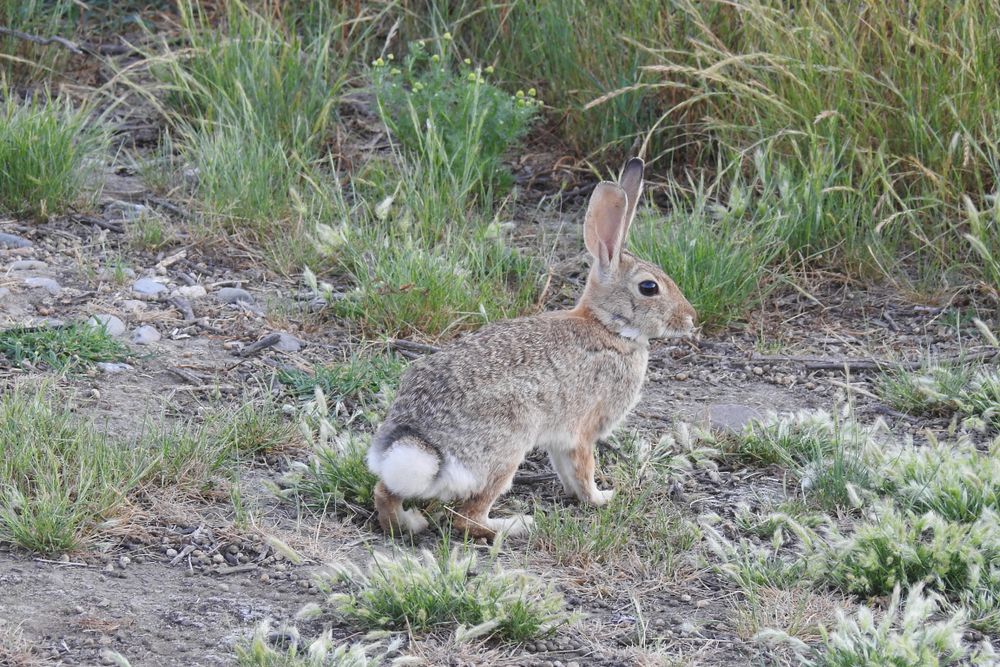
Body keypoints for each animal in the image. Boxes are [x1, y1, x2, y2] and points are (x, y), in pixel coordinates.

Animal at [367, 158, 696, 539]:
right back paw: (517, 525)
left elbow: (566, 470)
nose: (690, 318)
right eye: (649, 287)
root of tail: (425, 444)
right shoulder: (583, 431)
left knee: (384, 492)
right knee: (466, 519)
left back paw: (410, 523)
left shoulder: (560, 439)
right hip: (507, 449)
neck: (608, 327)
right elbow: (584, 469)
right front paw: (601, 498)